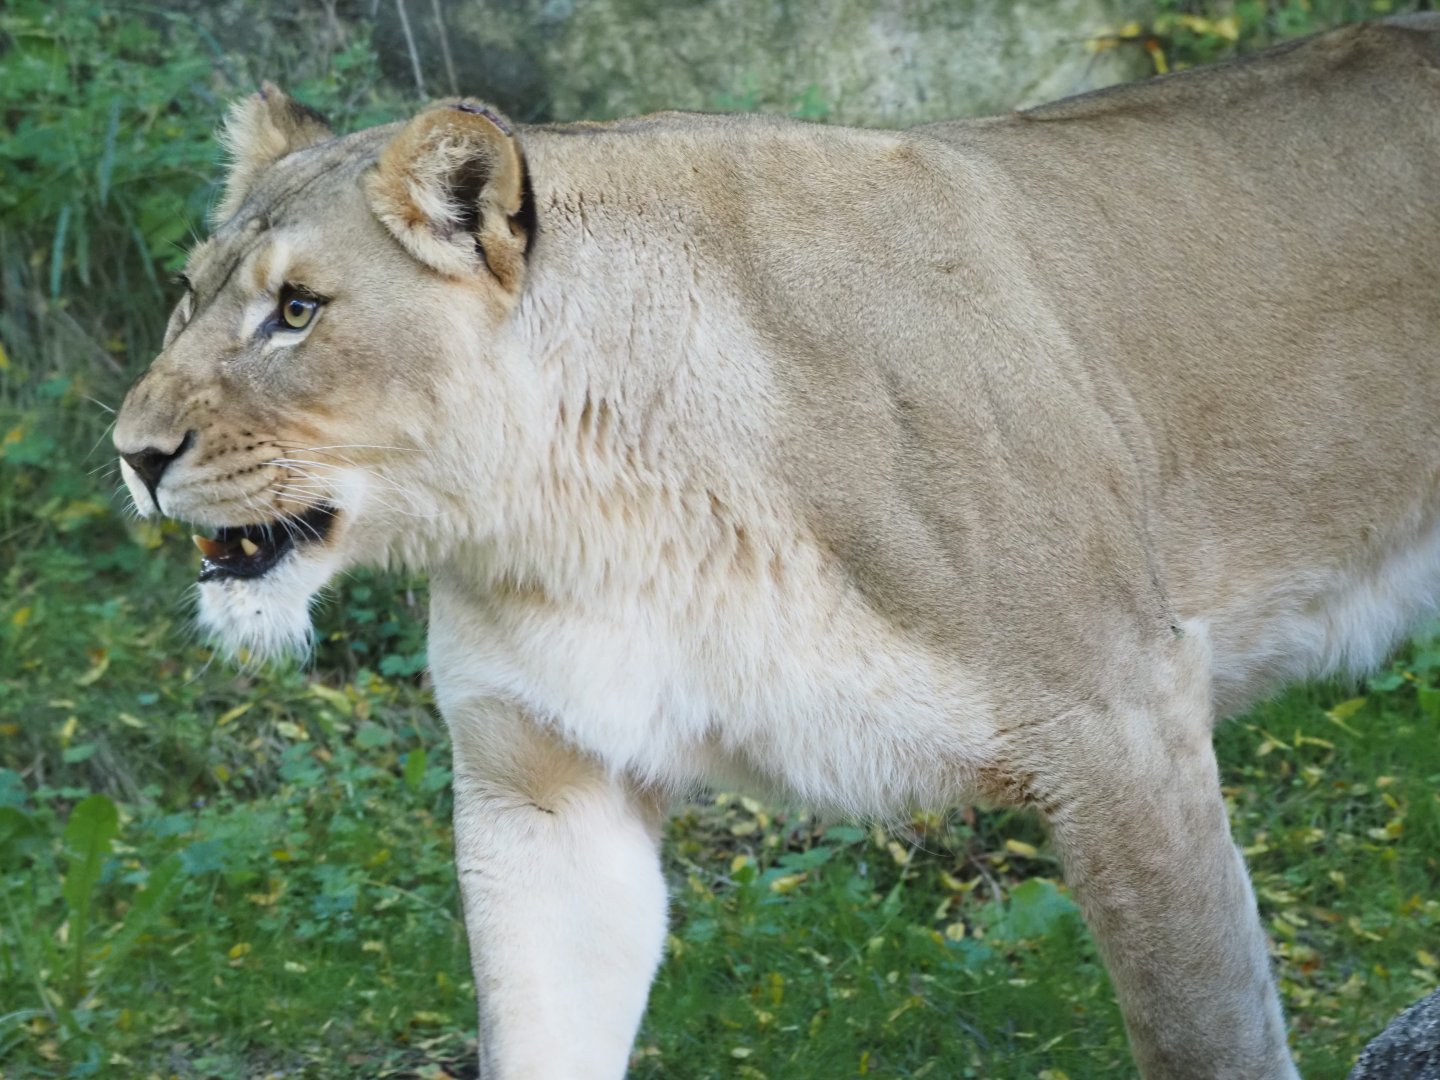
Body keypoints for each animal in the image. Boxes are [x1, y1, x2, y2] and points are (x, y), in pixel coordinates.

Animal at [113, 16, 1440, 1078]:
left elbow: (1208, 1032)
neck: (590, 516)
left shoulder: (1122, 716)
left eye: (297, 311)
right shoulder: (541, 784)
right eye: (187, 294)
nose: (132, 453)